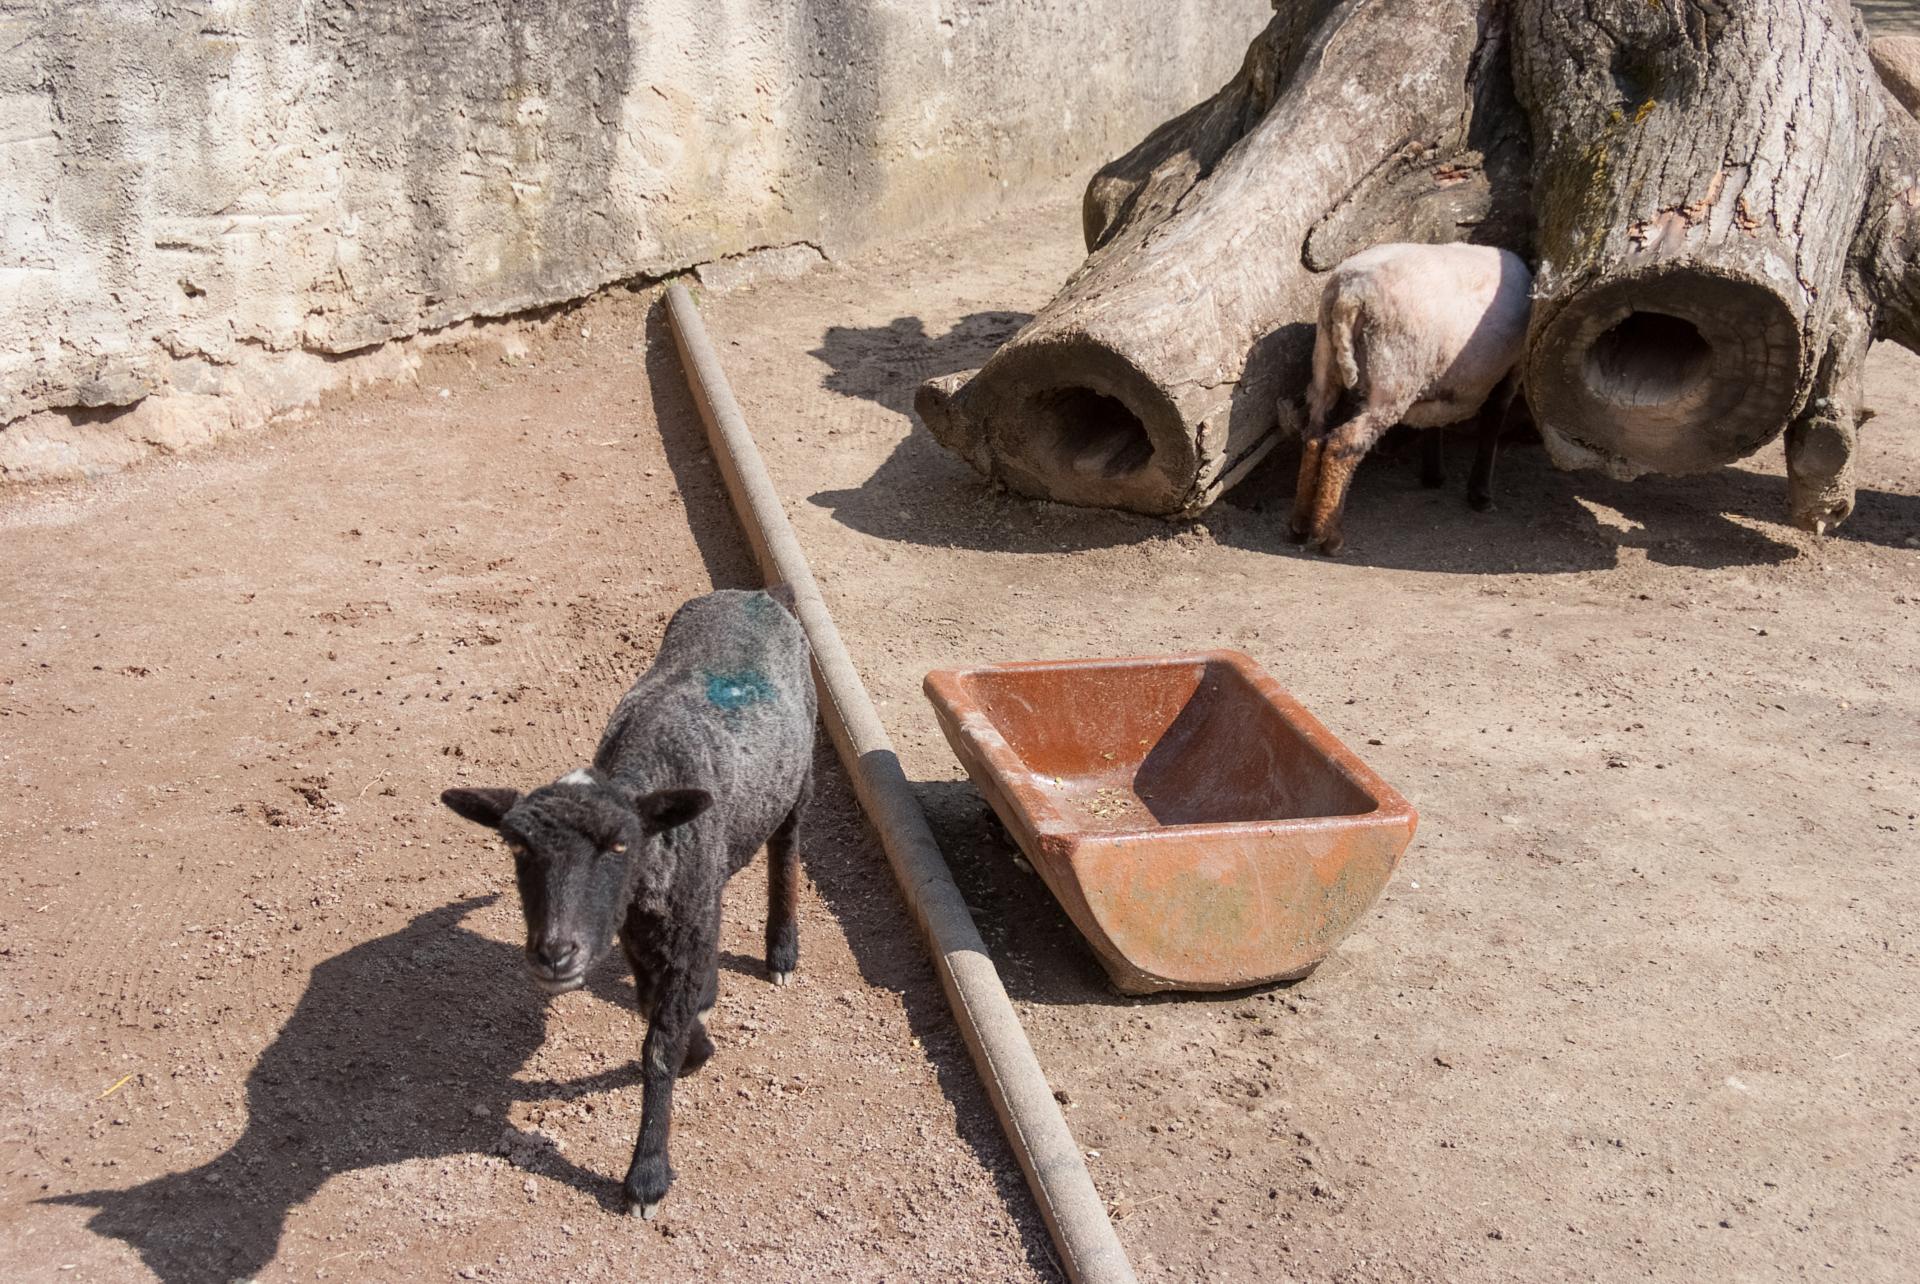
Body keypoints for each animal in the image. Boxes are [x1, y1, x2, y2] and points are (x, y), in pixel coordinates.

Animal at [441, 588, 816, 1219]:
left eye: (620, 845)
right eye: (517, 846)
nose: (555, 954)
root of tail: (754, 593)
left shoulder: (680, 925)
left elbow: (659, 1047)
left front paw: (646, 1176)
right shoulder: (641, 933)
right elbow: (653, 1007)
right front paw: (700, 1041)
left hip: (801, 773)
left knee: (786, 849)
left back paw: (782, 950)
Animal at [1290, 242, 1532, 555]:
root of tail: (1350, 295)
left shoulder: (1438, 380)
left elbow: (1434, 422)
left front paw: (1434, 474)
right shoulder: (1509, 372)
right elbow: (1492, 424)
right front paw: (1480, 494)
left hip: (1326, 363)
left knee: (1314, 435)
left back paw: (1299, 524)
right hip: (1393, 378)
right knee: (1344, 444)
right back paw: (1328, 535)